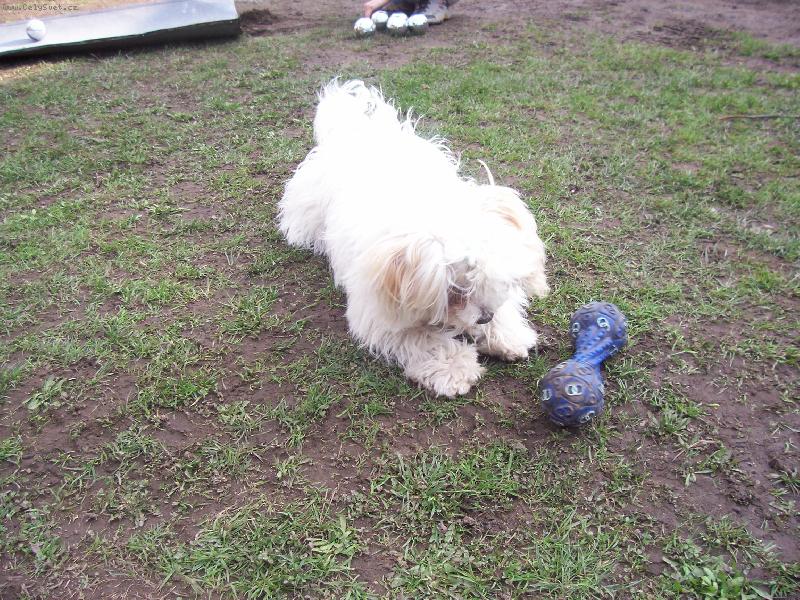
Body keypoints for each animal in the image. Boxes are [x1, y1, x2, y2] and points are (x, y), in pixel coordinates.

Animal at [279, 80, 549, 397]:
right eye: (455, 293)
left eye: (488, 281)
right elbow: (425, 339)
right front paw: (454, 369)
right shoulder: (382, 311)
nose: (485, 318)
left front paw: (507, 334)